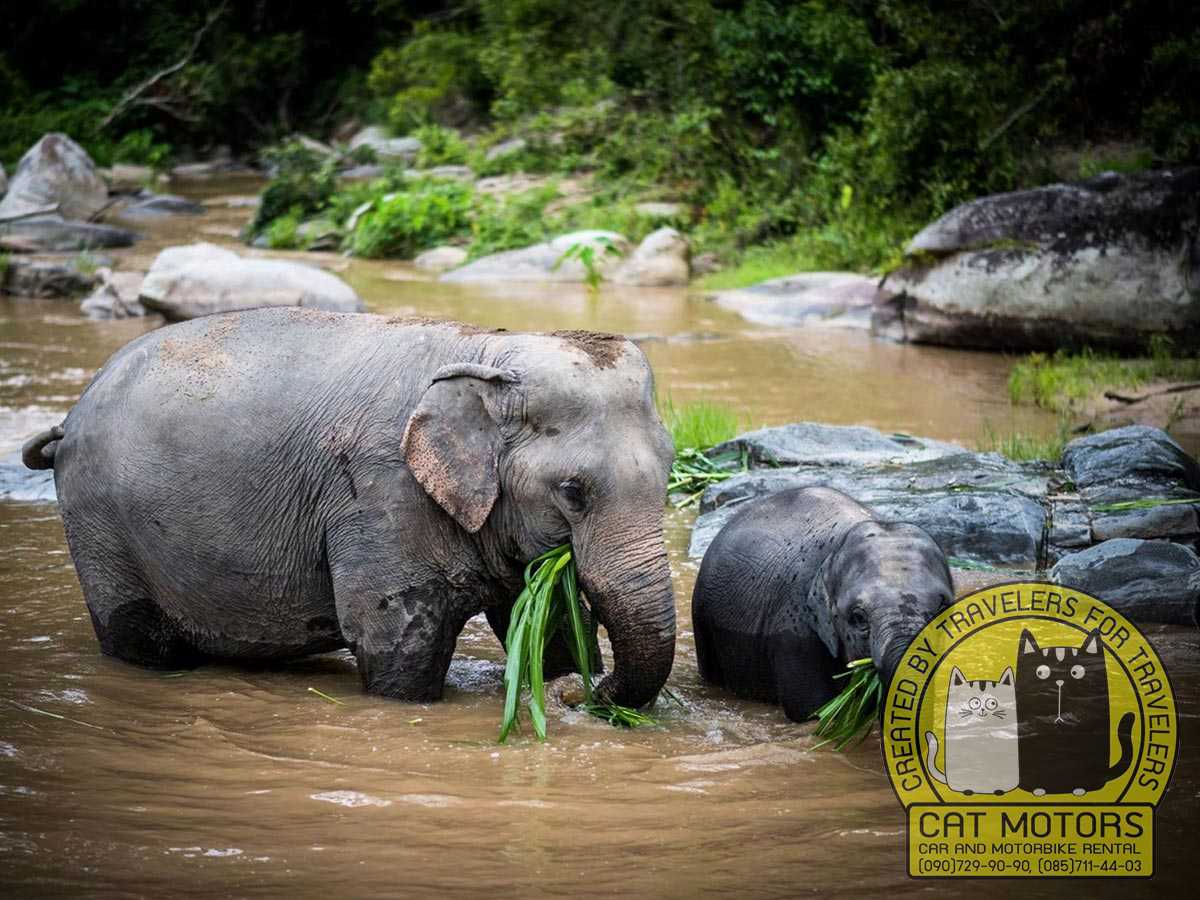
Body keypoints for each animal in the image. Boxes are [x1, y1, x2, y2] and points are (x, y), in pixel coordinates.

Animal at [21, 308, 677, 708]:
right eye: (573, 491)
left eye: (671, 473)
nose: (580, 696)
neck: (485, 348)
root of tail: (67, 421)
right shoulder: (379, 491)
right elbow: (398, 640)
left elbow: (548, 624)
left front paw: (559, 678)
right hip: (100, 524)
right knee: (138, 639)